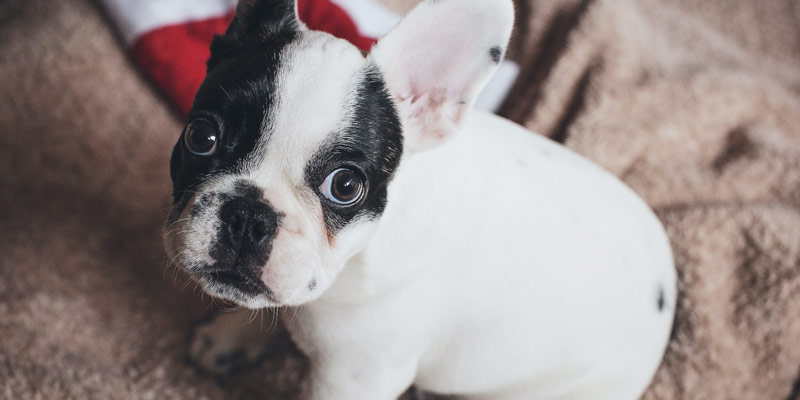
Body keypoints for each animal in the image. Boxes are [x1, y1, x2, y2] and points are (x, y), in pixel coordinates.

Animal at [166, 0, 680, 396]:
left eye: (345, 186)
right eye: (201, 136)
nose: (249, 215)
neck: (353, 261)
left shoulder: (356, 379)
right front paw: (228, 336)